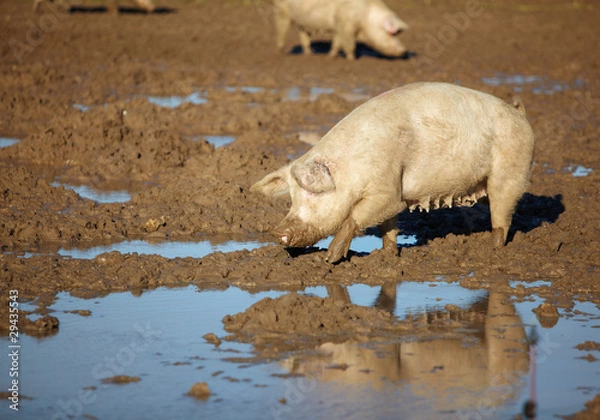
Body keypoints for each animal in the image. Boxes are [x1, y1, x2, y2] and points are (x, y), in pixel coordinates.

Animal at [251, 83, 536, 262]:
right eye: (291, 198)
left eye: (312, 194)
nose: (276, 233)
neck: (350, 169)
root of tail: (519, 114)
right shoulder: (390, 192)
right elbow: (388, 226)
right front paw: (387, 255)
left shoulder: (387, 191)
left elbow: (356, 217)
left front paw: (330, 259)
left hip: (511, 172)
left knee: (502, 215)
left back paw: (494, 251)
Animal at [276, 0, 408, 60]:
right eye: (391, 33)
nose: (404, 51)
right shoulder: (345, 25)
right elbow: (349, 44)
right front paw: (352, 59)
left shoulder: (340, 26)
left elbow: (338, 42)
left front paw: (331, 56)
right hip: (281, 11)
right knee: (281, 31)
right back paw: (282, 52)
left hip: (302, 22)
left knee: (303, 35)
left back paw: (310, 53)